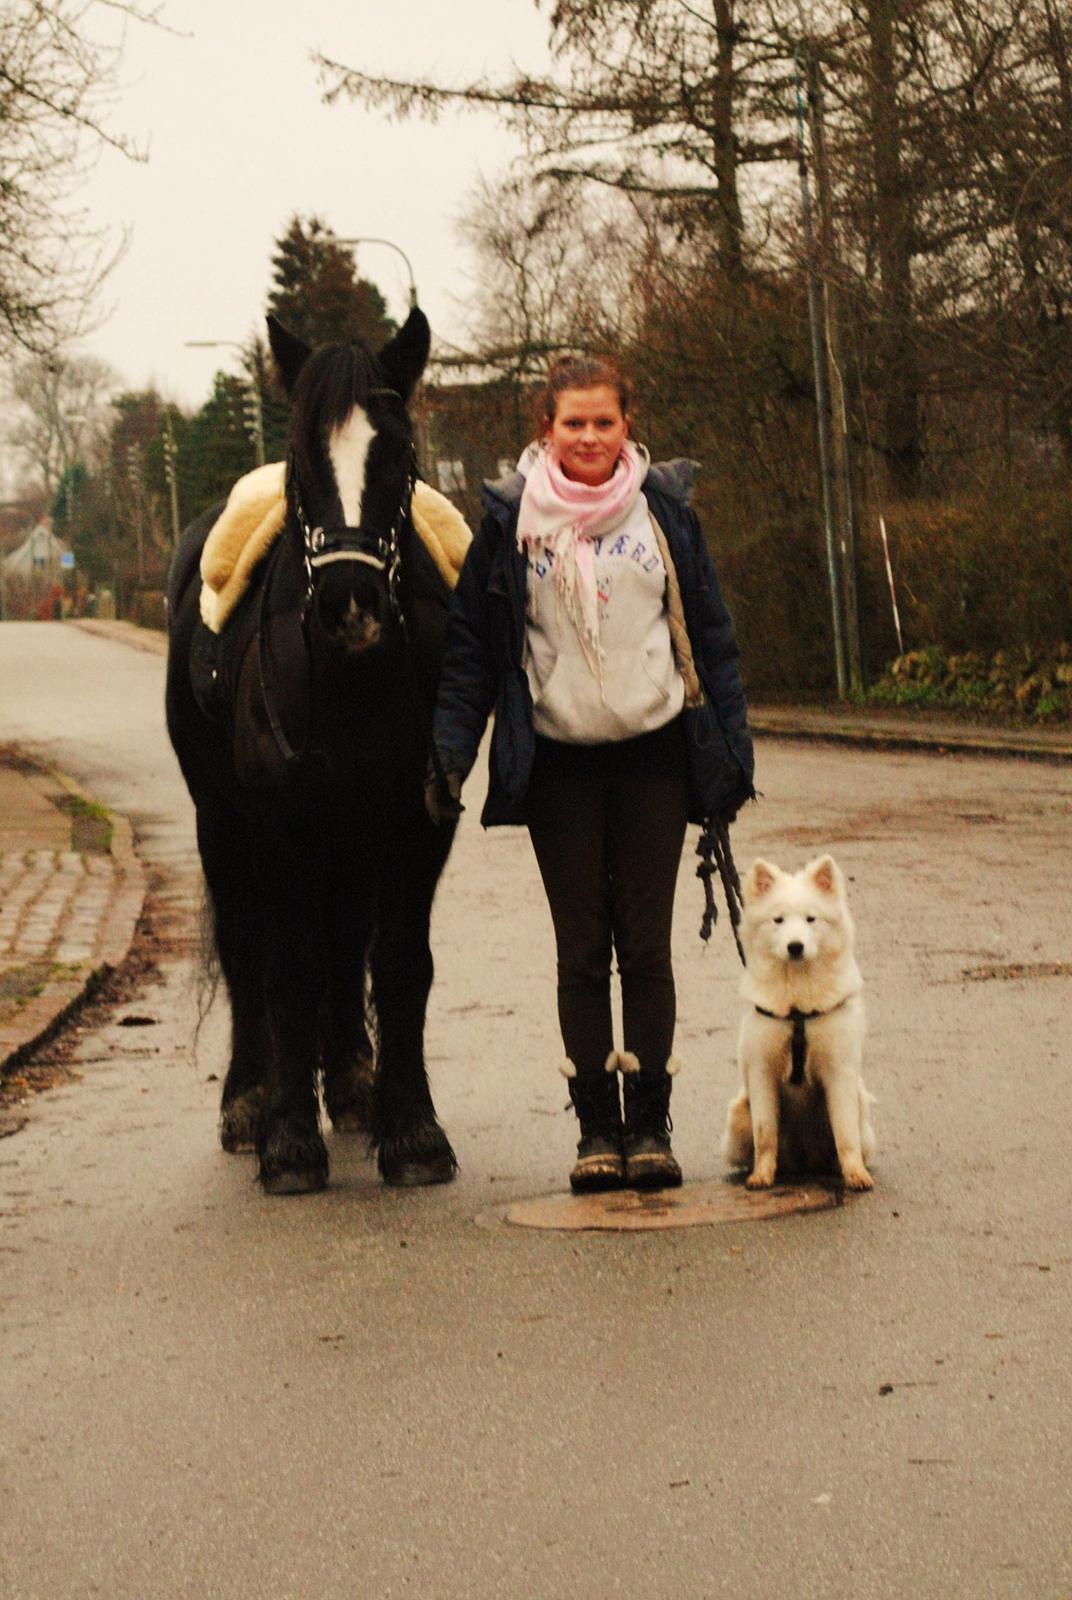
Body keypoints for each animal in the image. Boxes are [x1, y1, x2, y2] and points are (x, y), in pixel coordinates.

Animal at [165, 308, 460, 1190]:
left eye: (397, 453)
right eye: (299, 461)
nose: (349, 601)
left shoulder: (415, 828)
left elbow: (398, 963)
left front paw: (412, 1129)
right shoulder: (281, 830)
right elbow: (288, 965)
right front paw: (290, 1138)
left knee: (346, 940)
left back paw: (357, 1083)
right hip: (223, 826)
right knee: (246, 945)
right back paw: (248, 1100)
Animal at [726, 857, 876, 1196]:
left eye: (811, 919)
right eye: (778, 920)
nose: (795, 947)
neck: (797, 1006)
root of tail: (805, 1159)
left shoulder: (839, 1072)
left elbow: (845, 1136)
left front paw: (855, 1175)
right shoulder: (762, 1072)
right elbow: (765, 1135)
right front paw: (762, 1176)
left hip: (860, 1106)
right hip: (739, 1114)